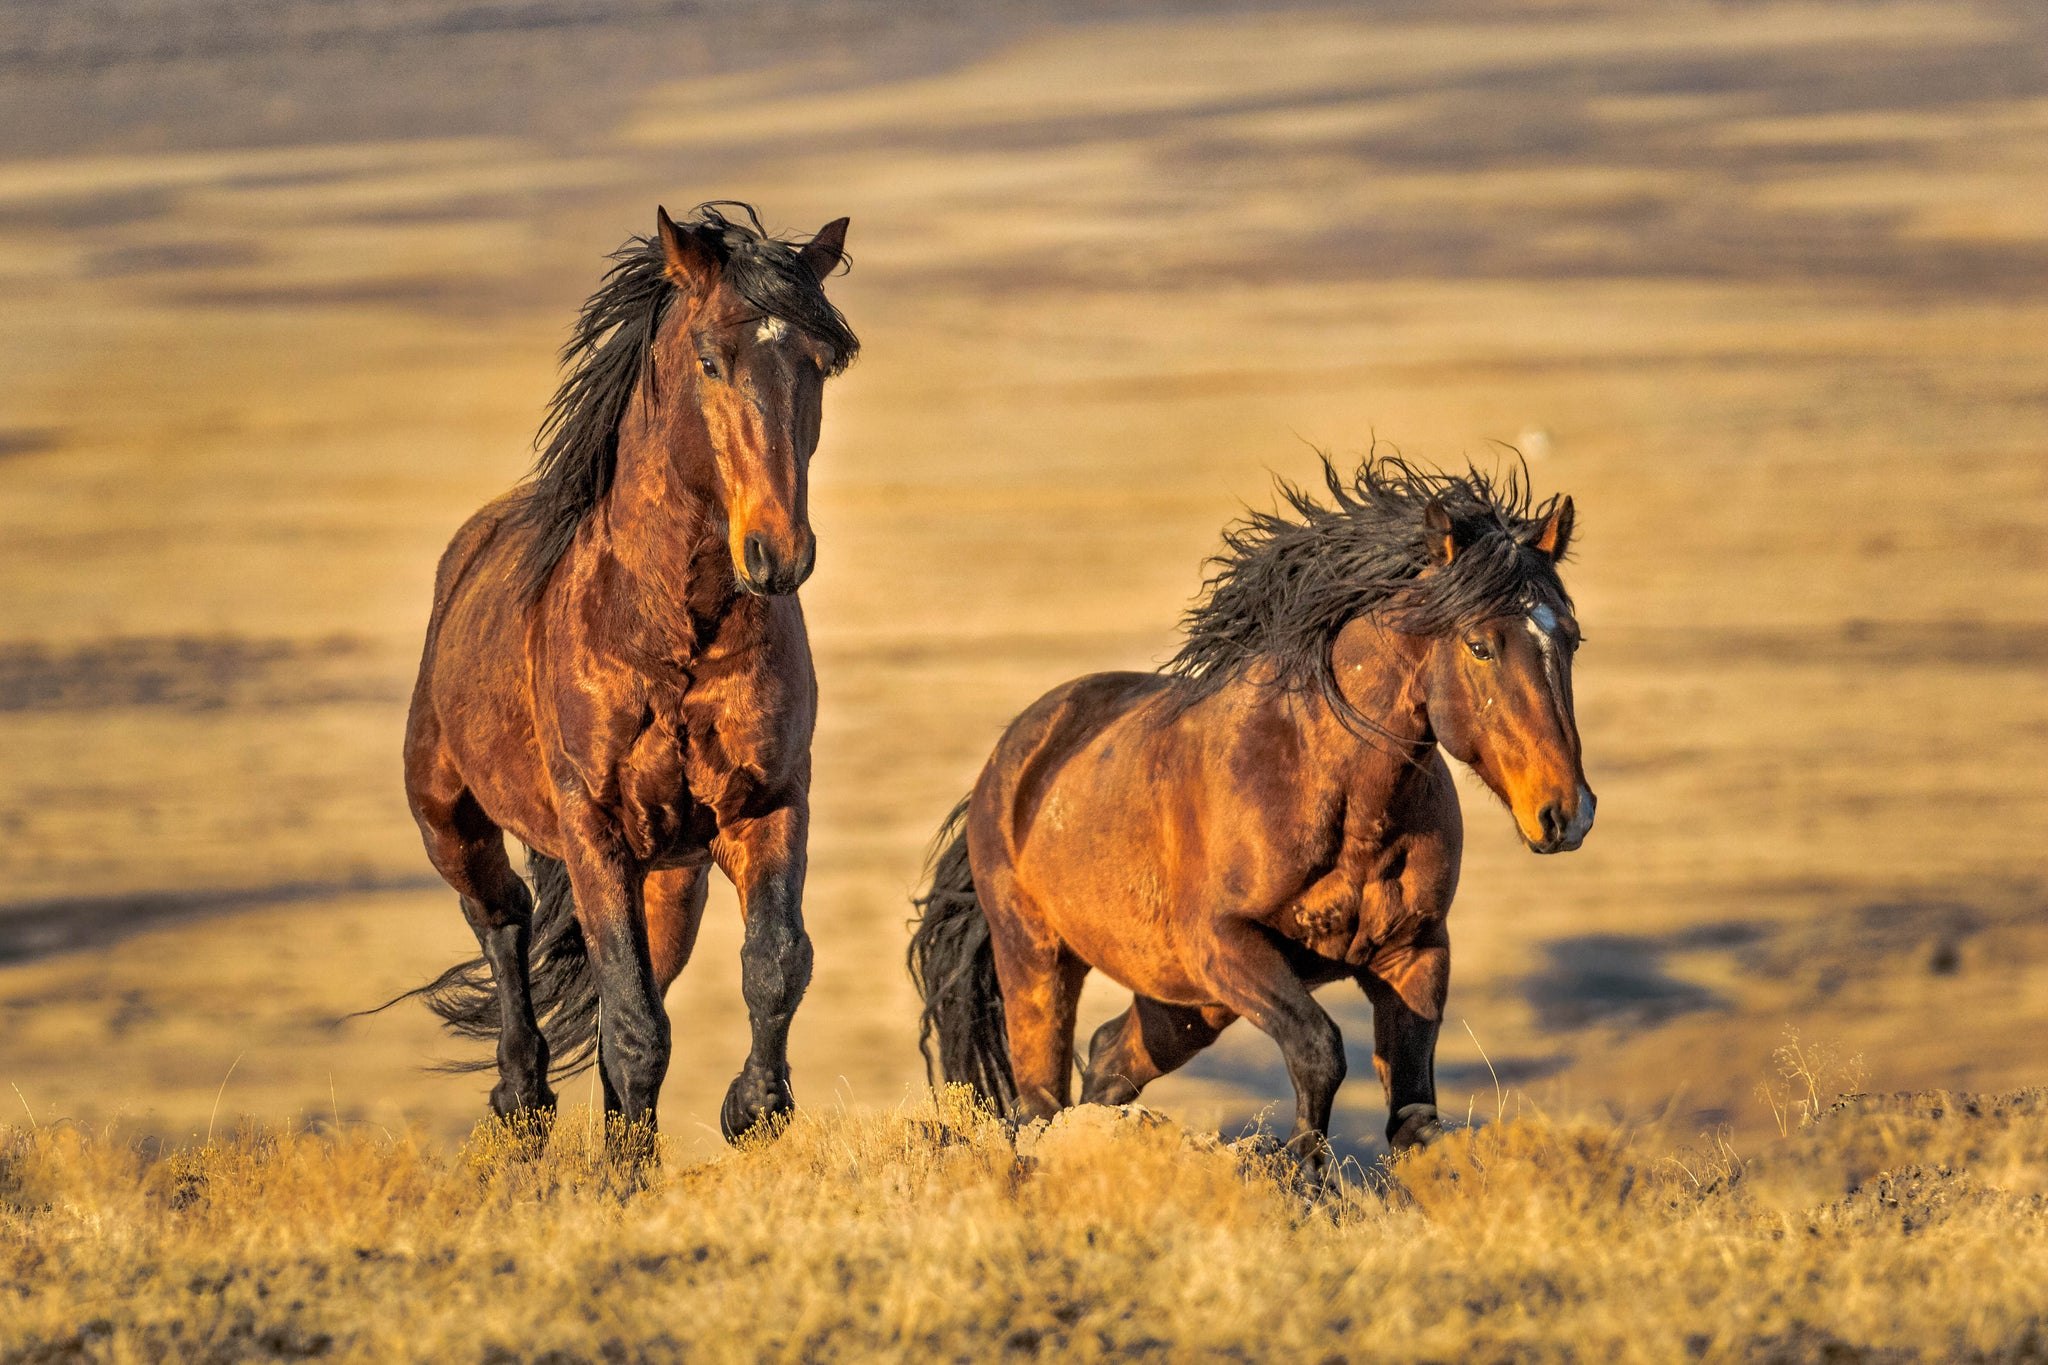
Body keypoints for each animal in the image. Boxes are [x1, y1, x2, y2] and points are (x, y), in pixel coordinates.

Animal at [391, 197, 856, 1146]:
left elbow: (774, 964)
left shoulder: (766, 801)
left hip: (670, 878)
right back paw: (521, 1101)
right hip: (450, 820)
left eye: (820, 363)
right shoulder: (593, 827)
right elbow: (635, 1028)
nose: (777, 553)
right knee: (503, 925)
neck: (669, 633)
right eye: (710, 359)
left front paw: (754, 1106)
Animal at [913, 456, 1597, 1162]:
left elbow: (1415, 1117)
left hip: (1187, 1002)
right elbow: (1320, 1051)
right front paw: (1306, 1167)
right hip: (1039, 963)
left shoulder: (1415, 952)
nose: (1567, 813)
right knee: (1040, 1100)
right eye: (1480, 645)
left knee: (1109, 1058)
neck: (1338, 800)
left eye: (1572, 640)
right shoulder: (1225, 944)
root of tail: (1014, 755)